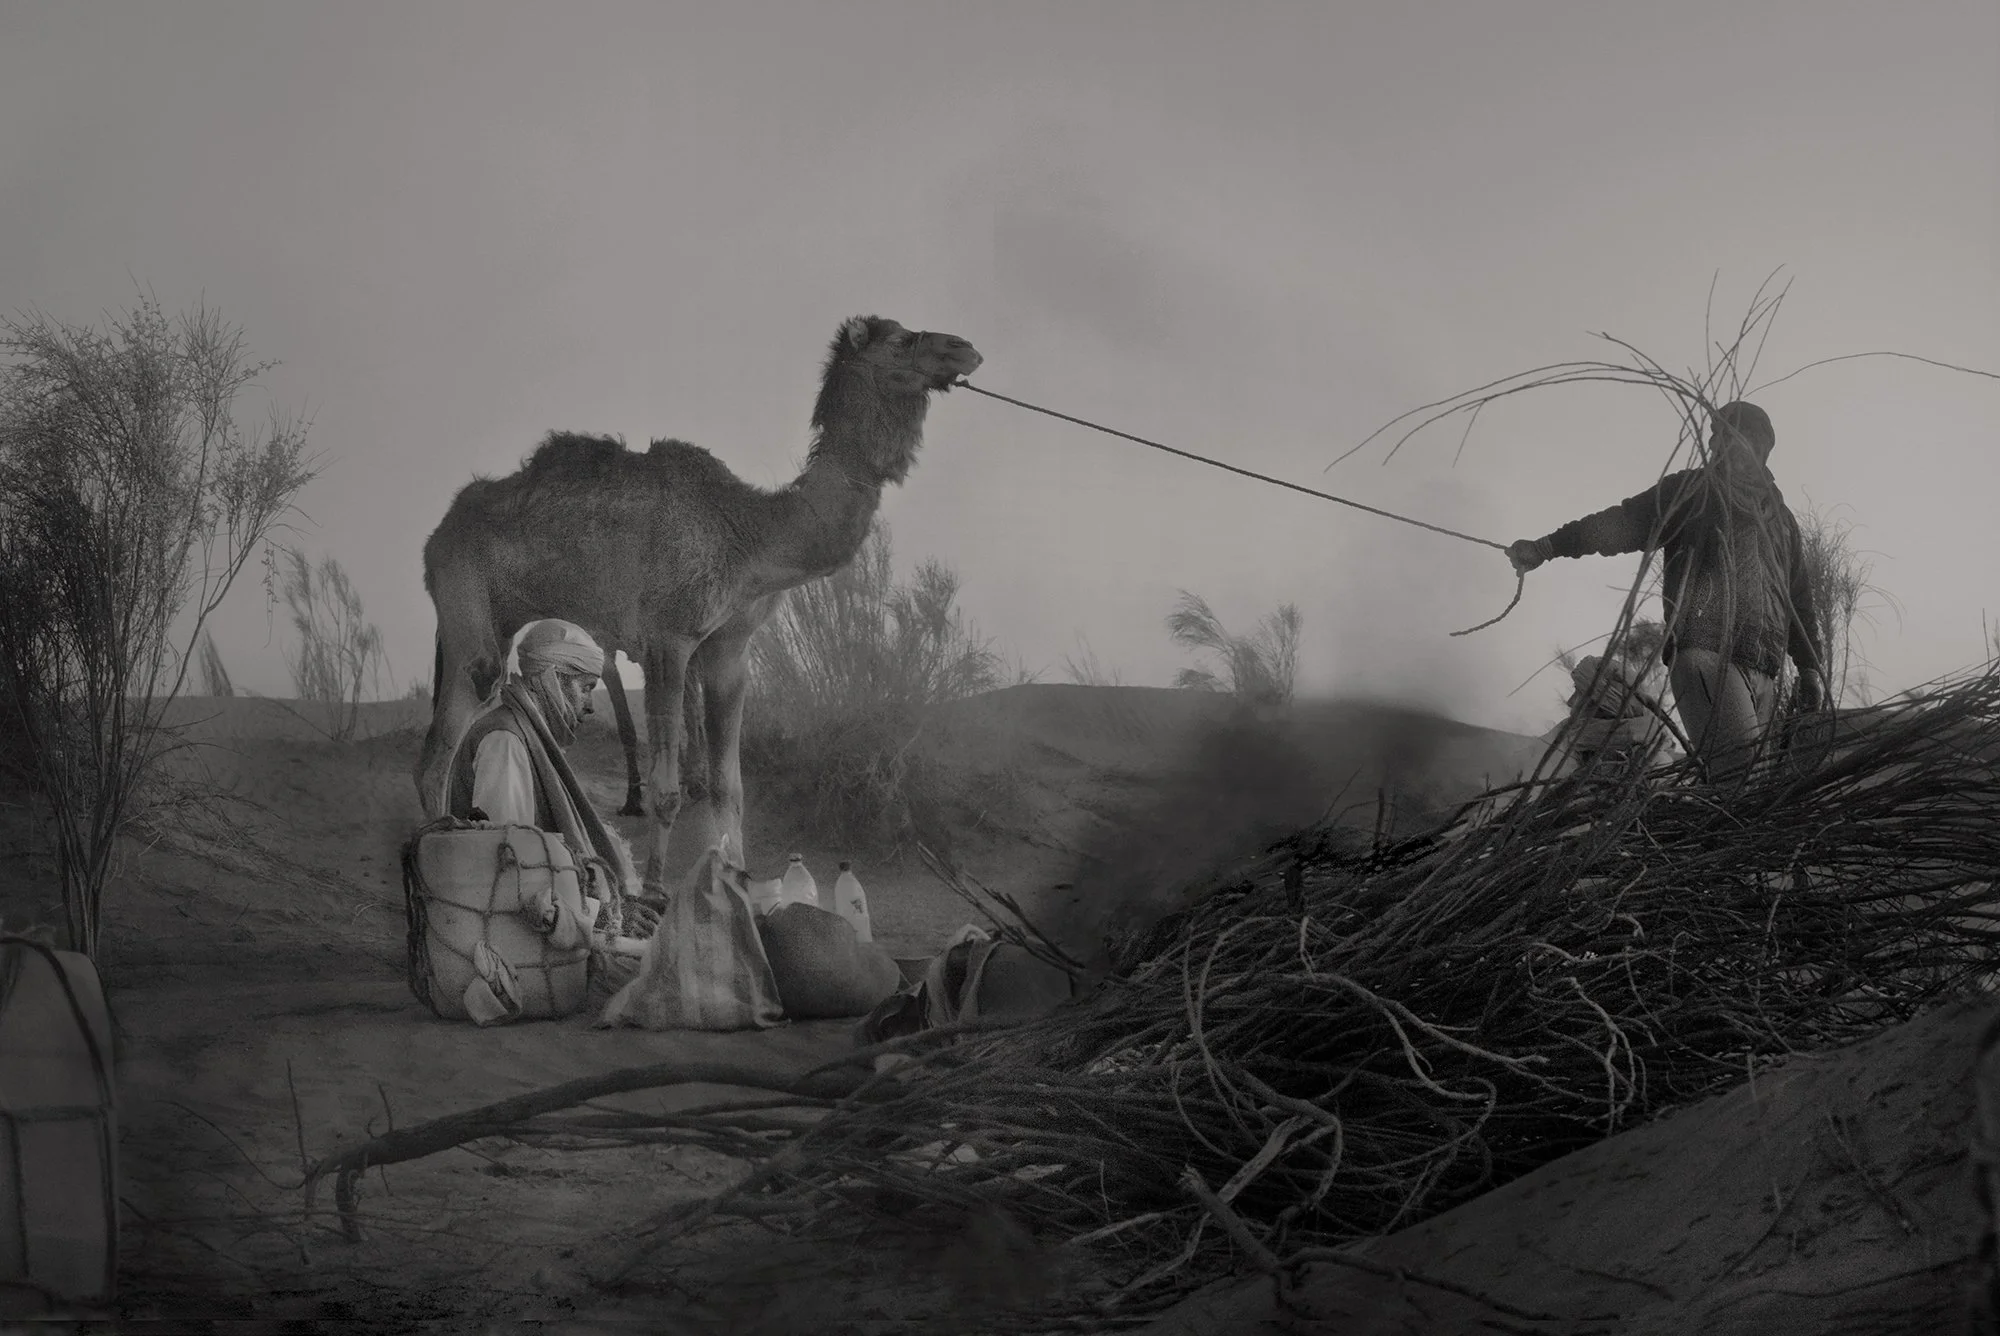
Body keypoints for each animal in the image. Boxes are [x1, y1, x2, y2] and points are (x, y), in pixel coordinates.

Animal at [414, 315, 983, 887]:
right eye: (901, 340)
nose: (965, 348)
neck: (749, 534)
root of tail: (436, 536)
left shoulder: (731, 649)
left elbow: (728, 789)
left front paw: (739, 884)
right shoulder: (669, 639)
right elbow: (669, 792)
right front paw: (654, 893)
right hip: (466, 607)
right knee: (446, 740)